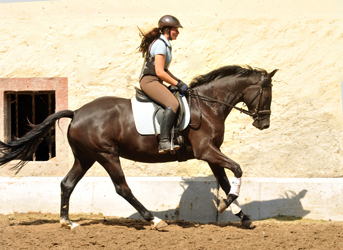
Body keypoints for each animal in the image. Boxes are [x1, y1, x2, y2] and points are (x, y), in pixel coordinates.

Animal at [0, 65, 280, 230]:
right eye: (267, 93)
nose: (264, 123)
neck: (208, 105)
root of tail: (77, 112)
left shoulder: (211, 155)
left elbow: (225, 180)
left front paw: (241, 216)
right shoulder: (206, 151)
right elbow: (238, 169)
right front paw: (226, 206)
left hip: (86, 157)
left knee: (67, 184)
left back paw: (67, 222)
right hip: (106, 154)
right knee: (122, 188)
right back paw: (154, 219)